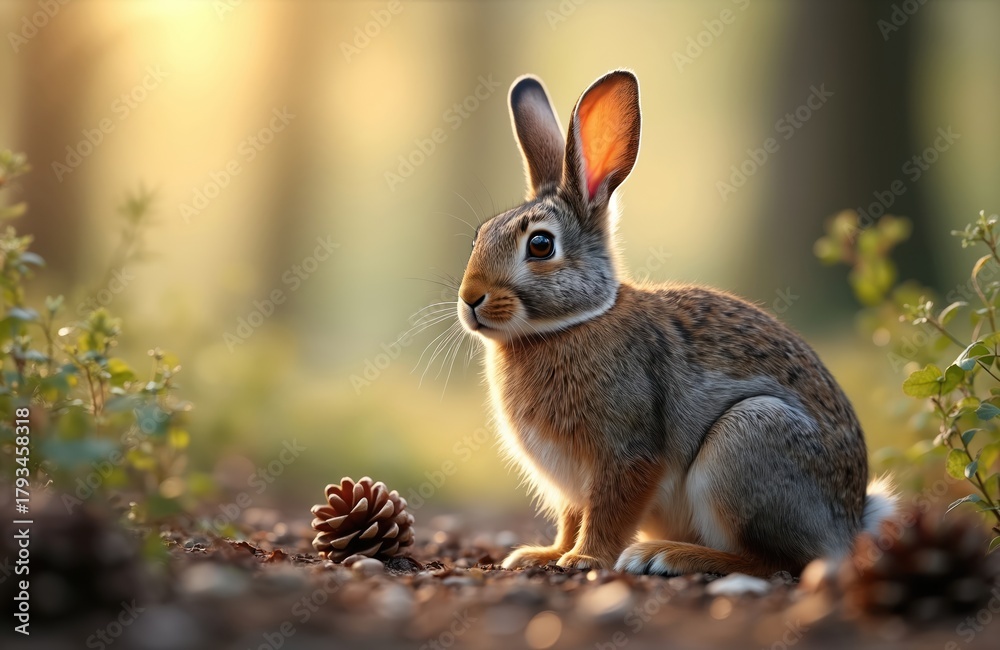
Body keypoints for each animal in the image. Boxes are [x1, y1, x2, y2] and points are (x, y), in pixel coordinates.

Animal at [455, 69, 896, 576]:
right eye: (479, 236)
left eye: (541, 245)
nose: (470, 299)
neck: (571, 323)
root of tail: (849, 523)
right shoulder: (570, 486)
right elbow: (571, 517)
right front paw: (542, 554)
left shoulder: (627, 453)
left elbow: (609, 512)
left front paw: (583, 559)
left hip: (745, 442)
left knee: (776, 562)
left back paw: (666, 555)